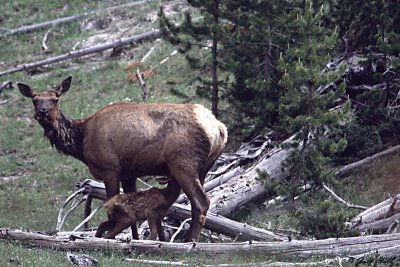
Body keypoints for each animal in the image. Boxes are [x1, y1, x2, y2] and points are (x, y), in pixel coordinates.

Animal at [18, 76, 228, 243]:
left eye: (55, 99)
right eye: (35, 99)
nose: (43, 112)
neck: (81, 140)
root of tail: (219, 128)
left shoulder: (109, 168)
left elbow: (112, 204)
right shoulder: (129, 173)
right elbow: (131, 207)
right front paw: (133, 240)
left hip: (183, 162)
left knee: (201, 201)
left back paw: (191, 241)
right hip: (205, 166)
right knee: (196, 202)